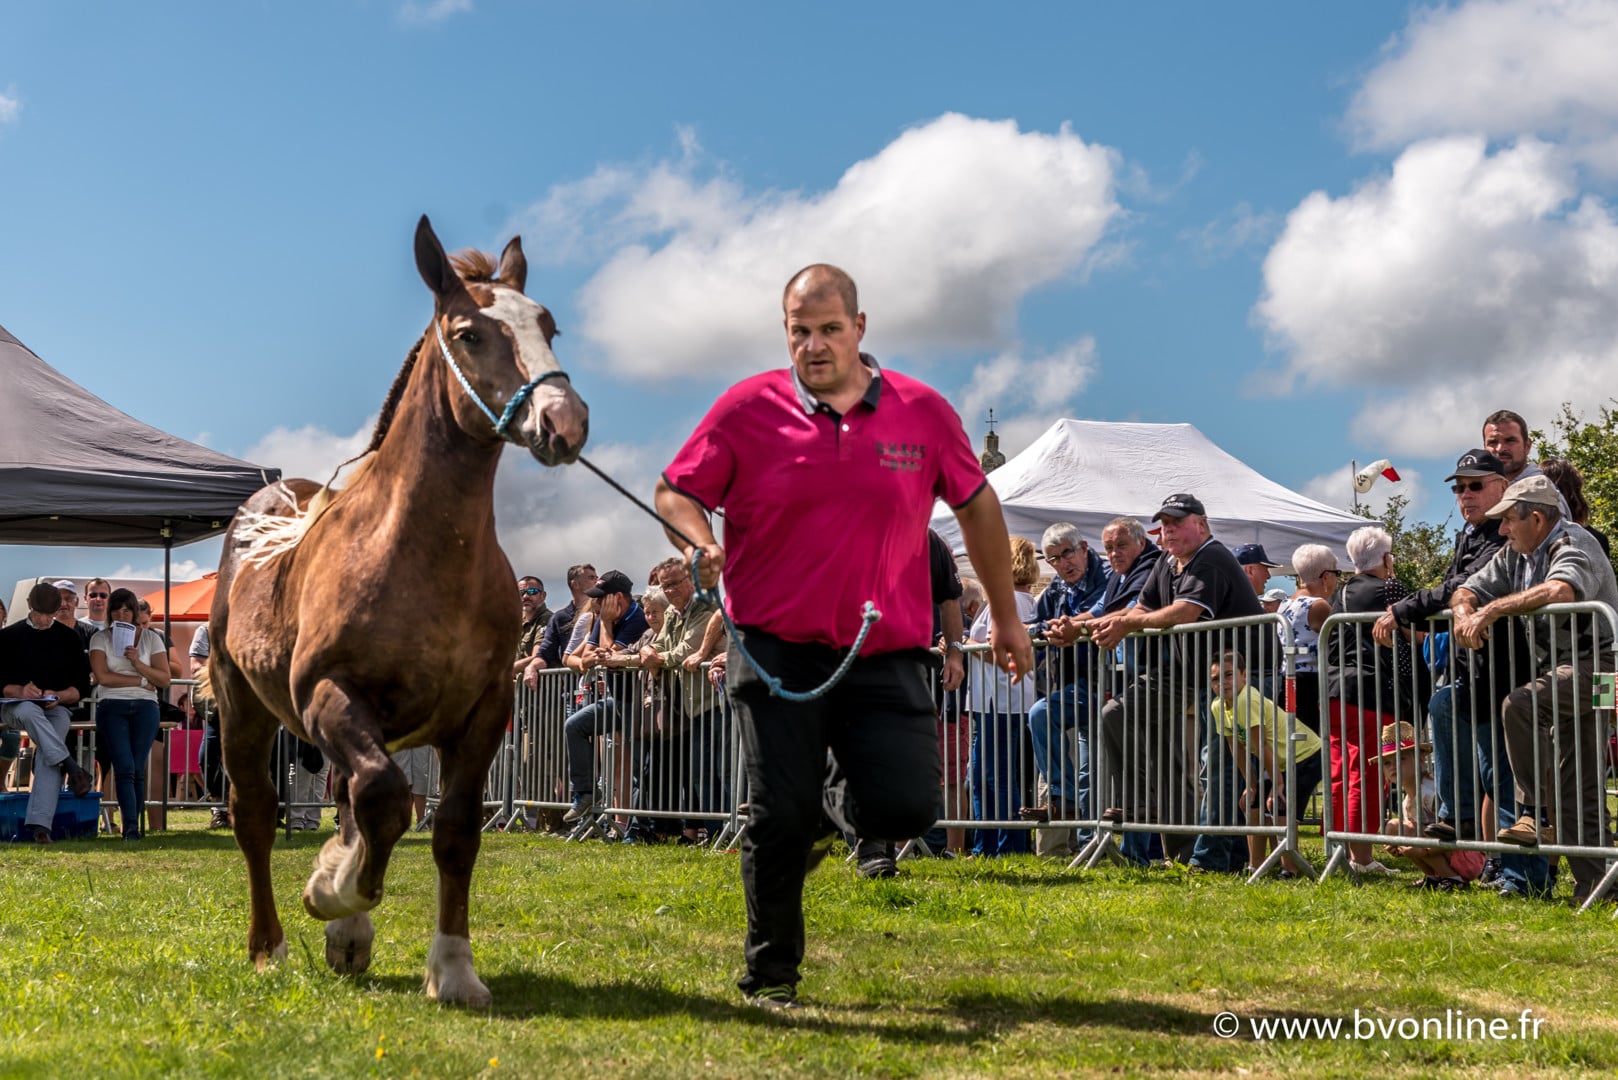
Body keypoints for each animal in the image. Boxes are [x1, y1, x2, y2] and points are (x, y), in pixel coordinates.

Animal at [209, 216, 588, 1007]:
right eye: (470, 333)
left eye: (547, 326)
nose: (564, 421)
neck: (412, 551)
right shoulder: (328, 694)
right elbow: (385, 796)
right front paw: (332, 891)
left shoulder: (482, 712)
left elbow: (452, 830)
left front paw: (453, 969)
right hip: (243, 706)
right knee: (257, 814)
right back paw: (273, 946)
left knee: (348, 794)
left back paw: (347, 935)